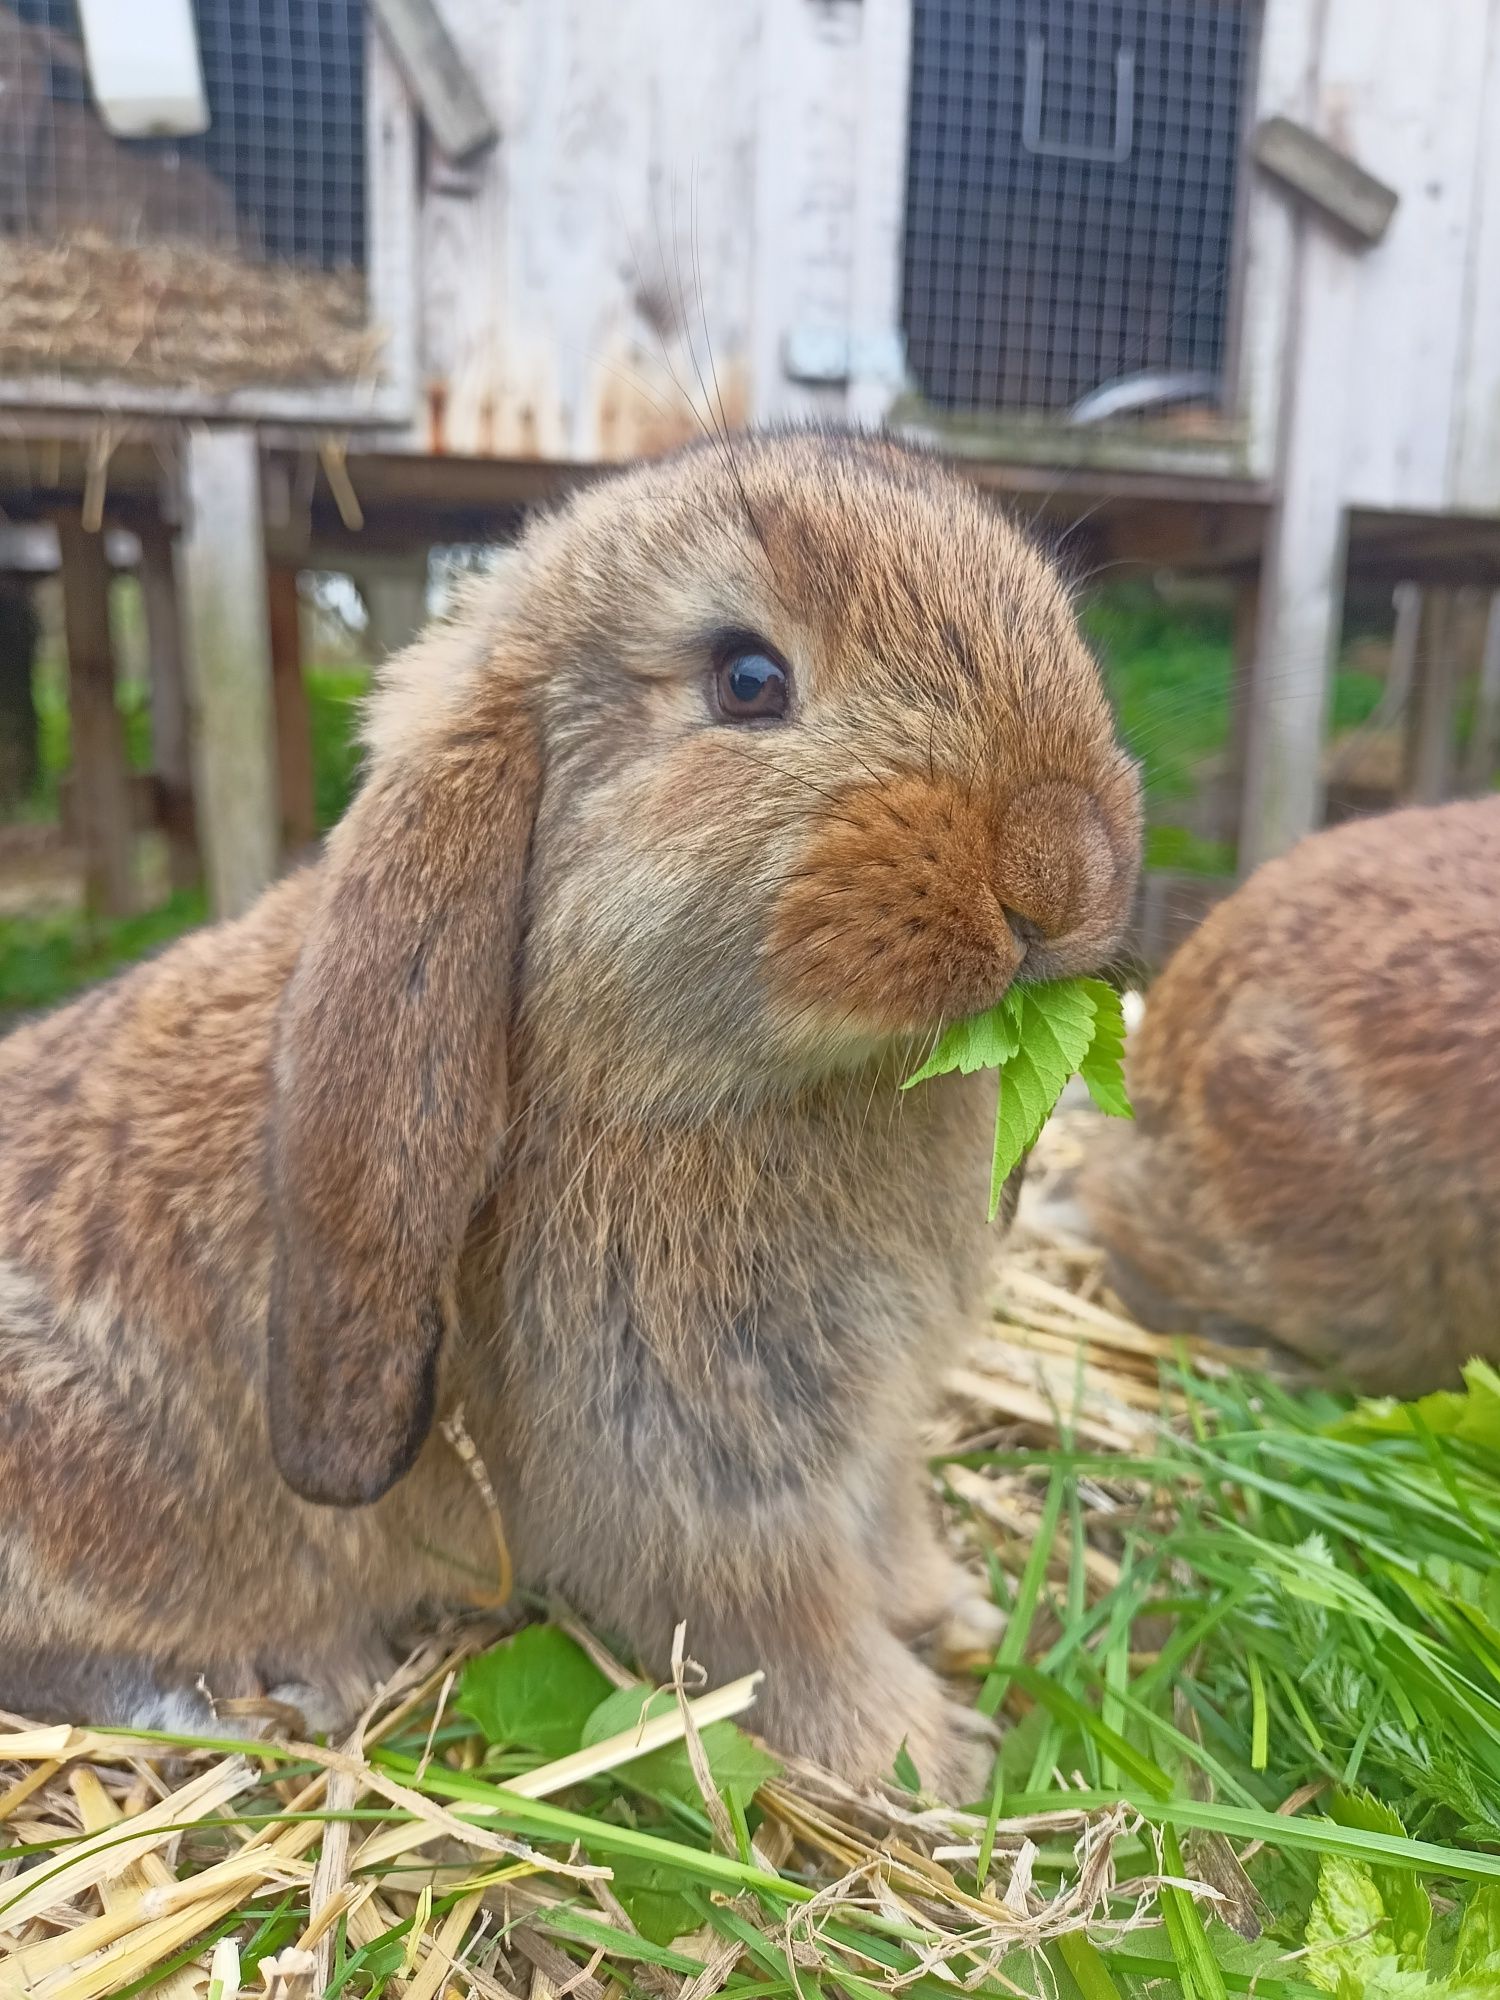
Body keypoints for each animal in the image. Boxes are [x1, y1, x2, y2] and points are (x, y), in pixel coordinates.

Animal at [0, 426, 1144, 1800]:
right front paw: (923, 1756)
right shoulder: (691, 1463)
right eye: (748, 678)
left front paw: (952, 1611)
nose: (1062, 861)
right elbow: (782, 1620)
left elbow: (888, 1526)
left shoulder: (865, 1434)